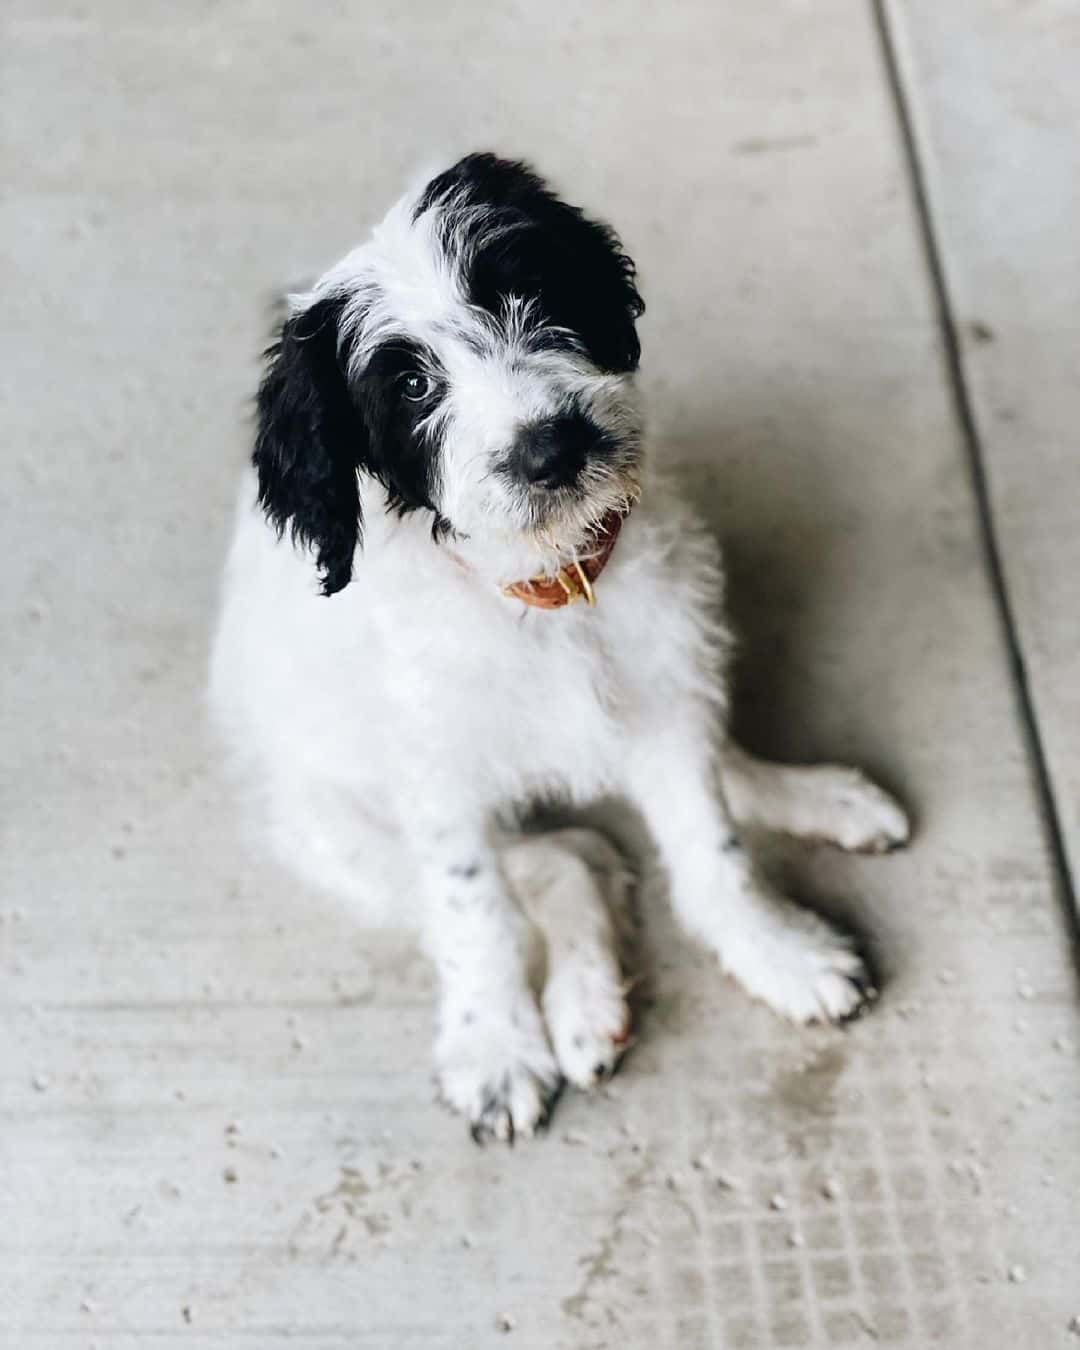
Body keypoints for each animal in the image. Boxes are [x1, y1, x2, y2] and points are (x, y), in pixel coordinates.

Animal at [209, 153, 901, 1144]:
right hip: (338, 831)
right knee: (568, 859)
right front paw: (494, 1046)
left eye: (524, 290)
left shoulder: (658, 690)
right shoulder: (436, 778)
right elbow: (475, 911)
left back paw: (812, 796)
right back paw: (583, 1006)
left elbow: (712, 844)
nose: (553, 447)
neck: (549, 591)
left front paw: (776, 950)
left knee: (692, 769)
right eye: (411, 388)